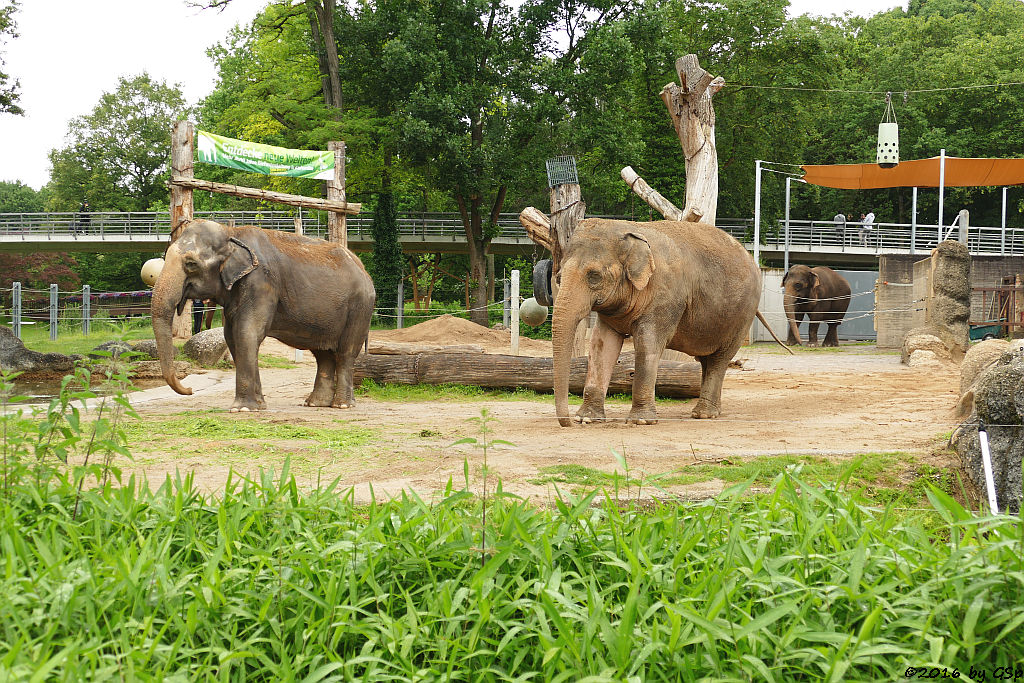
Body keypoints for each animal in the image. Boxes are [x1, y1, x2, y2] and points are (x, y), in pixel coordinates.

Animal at [149, 220, 374, 411]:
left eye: (191, 264)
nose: (189, 390)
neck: (232, 233)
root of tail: (364, 268)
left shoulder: (261, 282)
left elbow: (246, 332)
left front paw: (242, 409)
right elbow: (232, 337)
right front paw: (258, 405)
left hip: (360, 307)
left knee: (345, 353)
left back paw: (342, 405)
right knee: (323, 354)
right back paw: (315, 404)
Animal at [557, 218, 778, 428]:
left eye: (594, 276)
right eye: (558, 277)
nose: (568, 423)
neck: (630, 228)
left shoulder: (666, 297)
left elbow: (648, 345)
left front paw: (640, 421)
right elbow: (601, 345)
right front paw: (586, 419)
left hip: (742, 316)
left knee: (719, 359)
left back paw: (704, 414)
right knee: (706, 360)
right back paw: (711, 411)